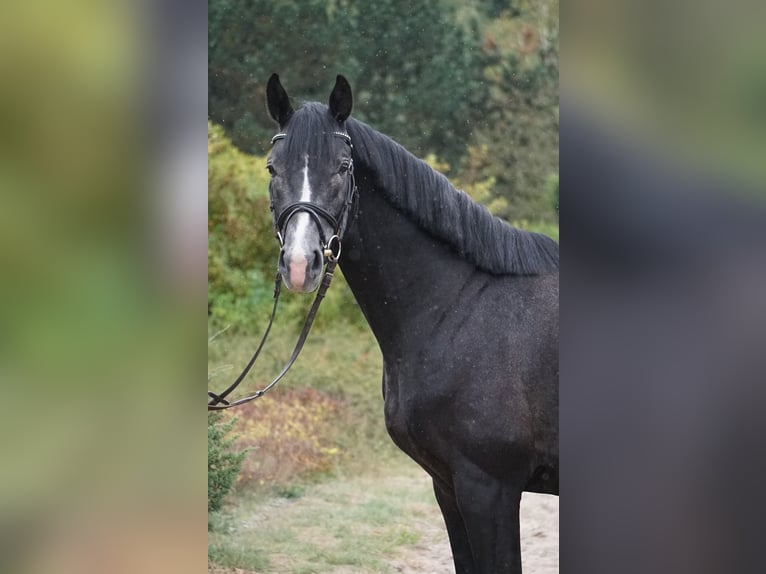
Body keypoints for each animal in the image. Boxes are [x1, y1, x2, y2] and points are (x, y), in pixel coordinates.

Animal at [264, 74, 560, 572]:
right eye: (271, 168)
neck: (458, 309)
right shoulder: (448, 487)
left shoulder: (489, 489)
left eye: (343, 166)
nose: (301, 265)